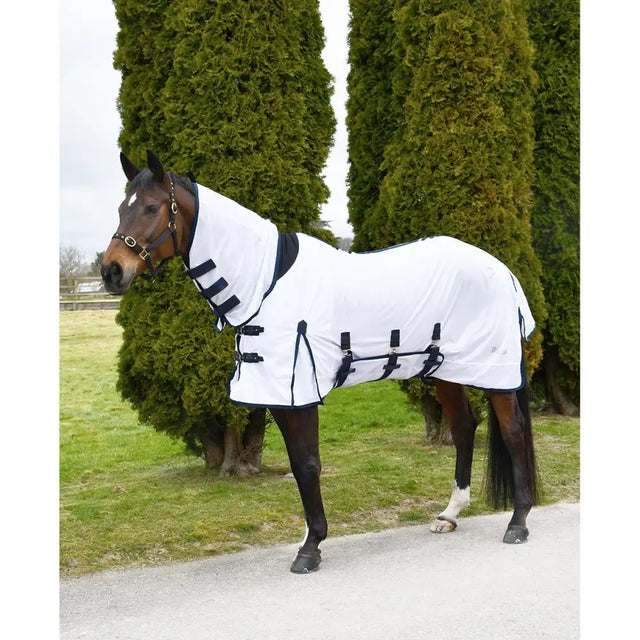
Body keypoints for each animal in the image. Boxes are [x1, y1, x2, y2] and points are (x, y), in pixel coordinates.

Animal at [102, 150, 539, 573]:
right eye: (121, 208)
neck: (267, 284)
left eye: (152, 208)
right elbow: (298, 465)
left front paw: (310, 548)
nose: (111, 272)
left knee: (513, 431)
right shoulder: (279, 397)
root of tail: (501, 269)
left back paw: (518, 522)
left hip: (494, 373)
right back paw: (449, 514)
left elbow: (309, 465)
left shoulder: (300, 394)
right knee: (464, 428)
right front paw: (309, 537)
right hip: (445, 369)